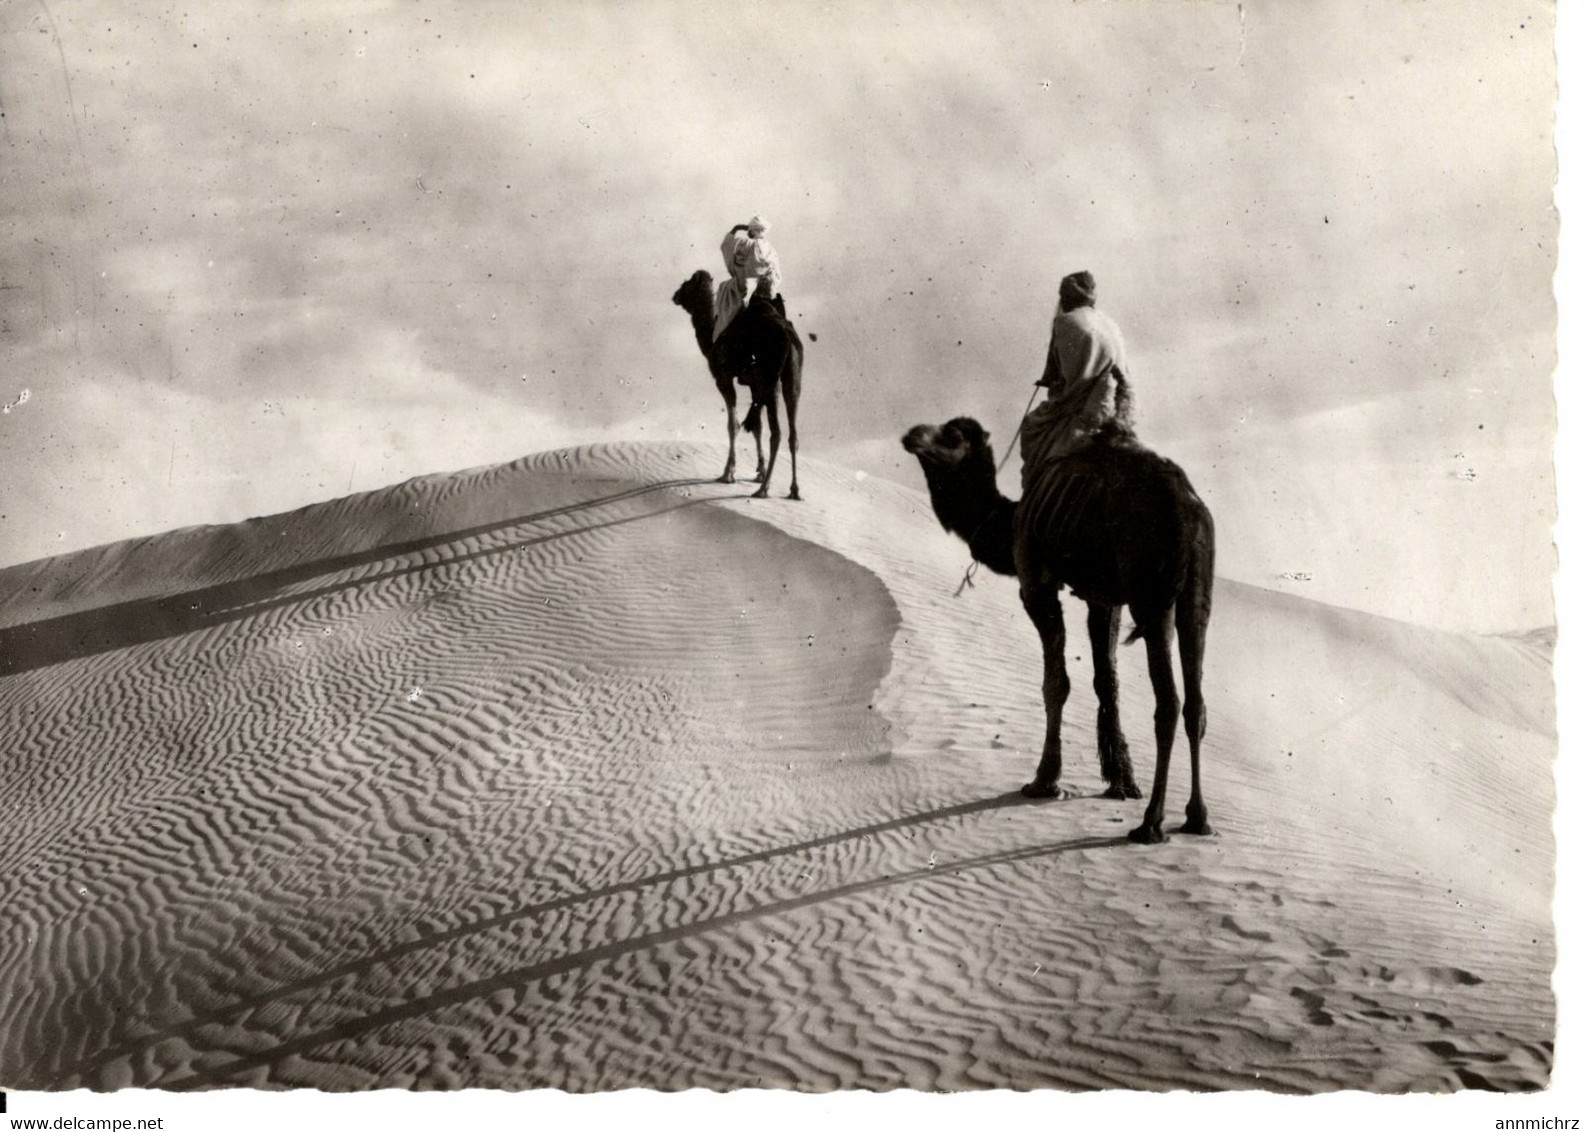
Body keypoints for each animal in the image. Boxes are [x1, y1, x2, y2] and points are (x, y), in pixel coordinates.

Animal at [670, 270, 800, 499]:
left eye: (686, 284)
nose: (675, 296)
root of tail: (787, 335)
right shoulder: (754, 384)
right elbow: (757, 427)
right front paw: (759, 472)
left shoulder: (723, 377)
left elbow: (734, 424)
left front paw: (728, 474)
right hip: (790, 378)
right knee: (792, 433)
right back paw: (793, 490)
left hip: (769, 378)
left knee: (777, 433)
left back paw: (764, 489)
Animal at [908, 416, 1213, 839]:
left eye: (951, 435)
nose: (911, 436)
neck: (1008, 521)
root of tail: (1188, 511)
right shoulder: (1104, 597)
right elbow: (1106, 681)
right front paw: (1120, 781)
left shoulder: (1036, 583)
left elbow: (1056, 683)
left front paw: (1044, 781)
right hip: (1194, 592)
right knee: (1195, 701)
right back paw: (1197, 818)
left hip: (1150, 591)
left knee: (1167, 702)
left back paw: (1150, 823)